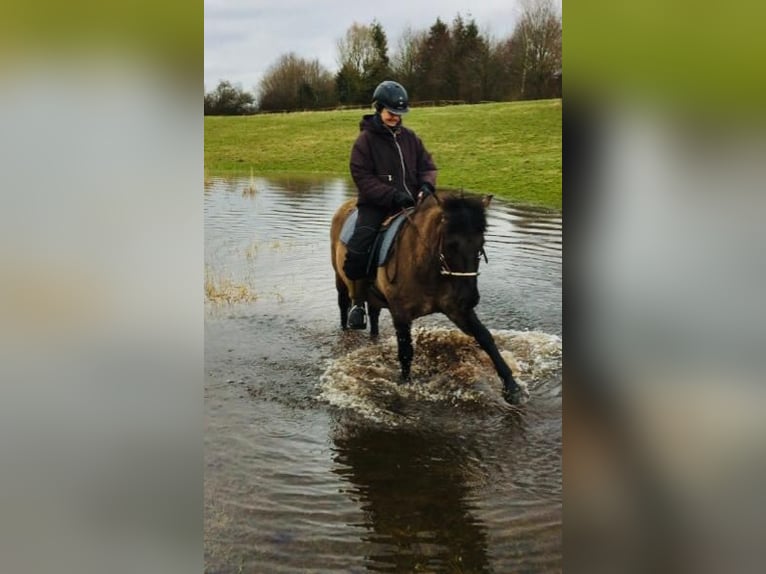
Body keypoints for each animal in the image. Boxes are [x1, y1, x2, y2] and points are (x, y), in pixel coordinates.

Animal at [332, 191, 532, 408]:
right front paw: (405, 385)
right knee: (344, 306)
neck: (426, 268)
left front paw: (512, 388)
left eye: (481, 245)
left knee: (374, 315)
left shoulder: (456, 308)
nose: (470, 298)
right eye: (451, 244)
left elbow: (485, 337)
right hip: (340, 280)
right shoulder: (400, 313)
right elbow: (405, 351)